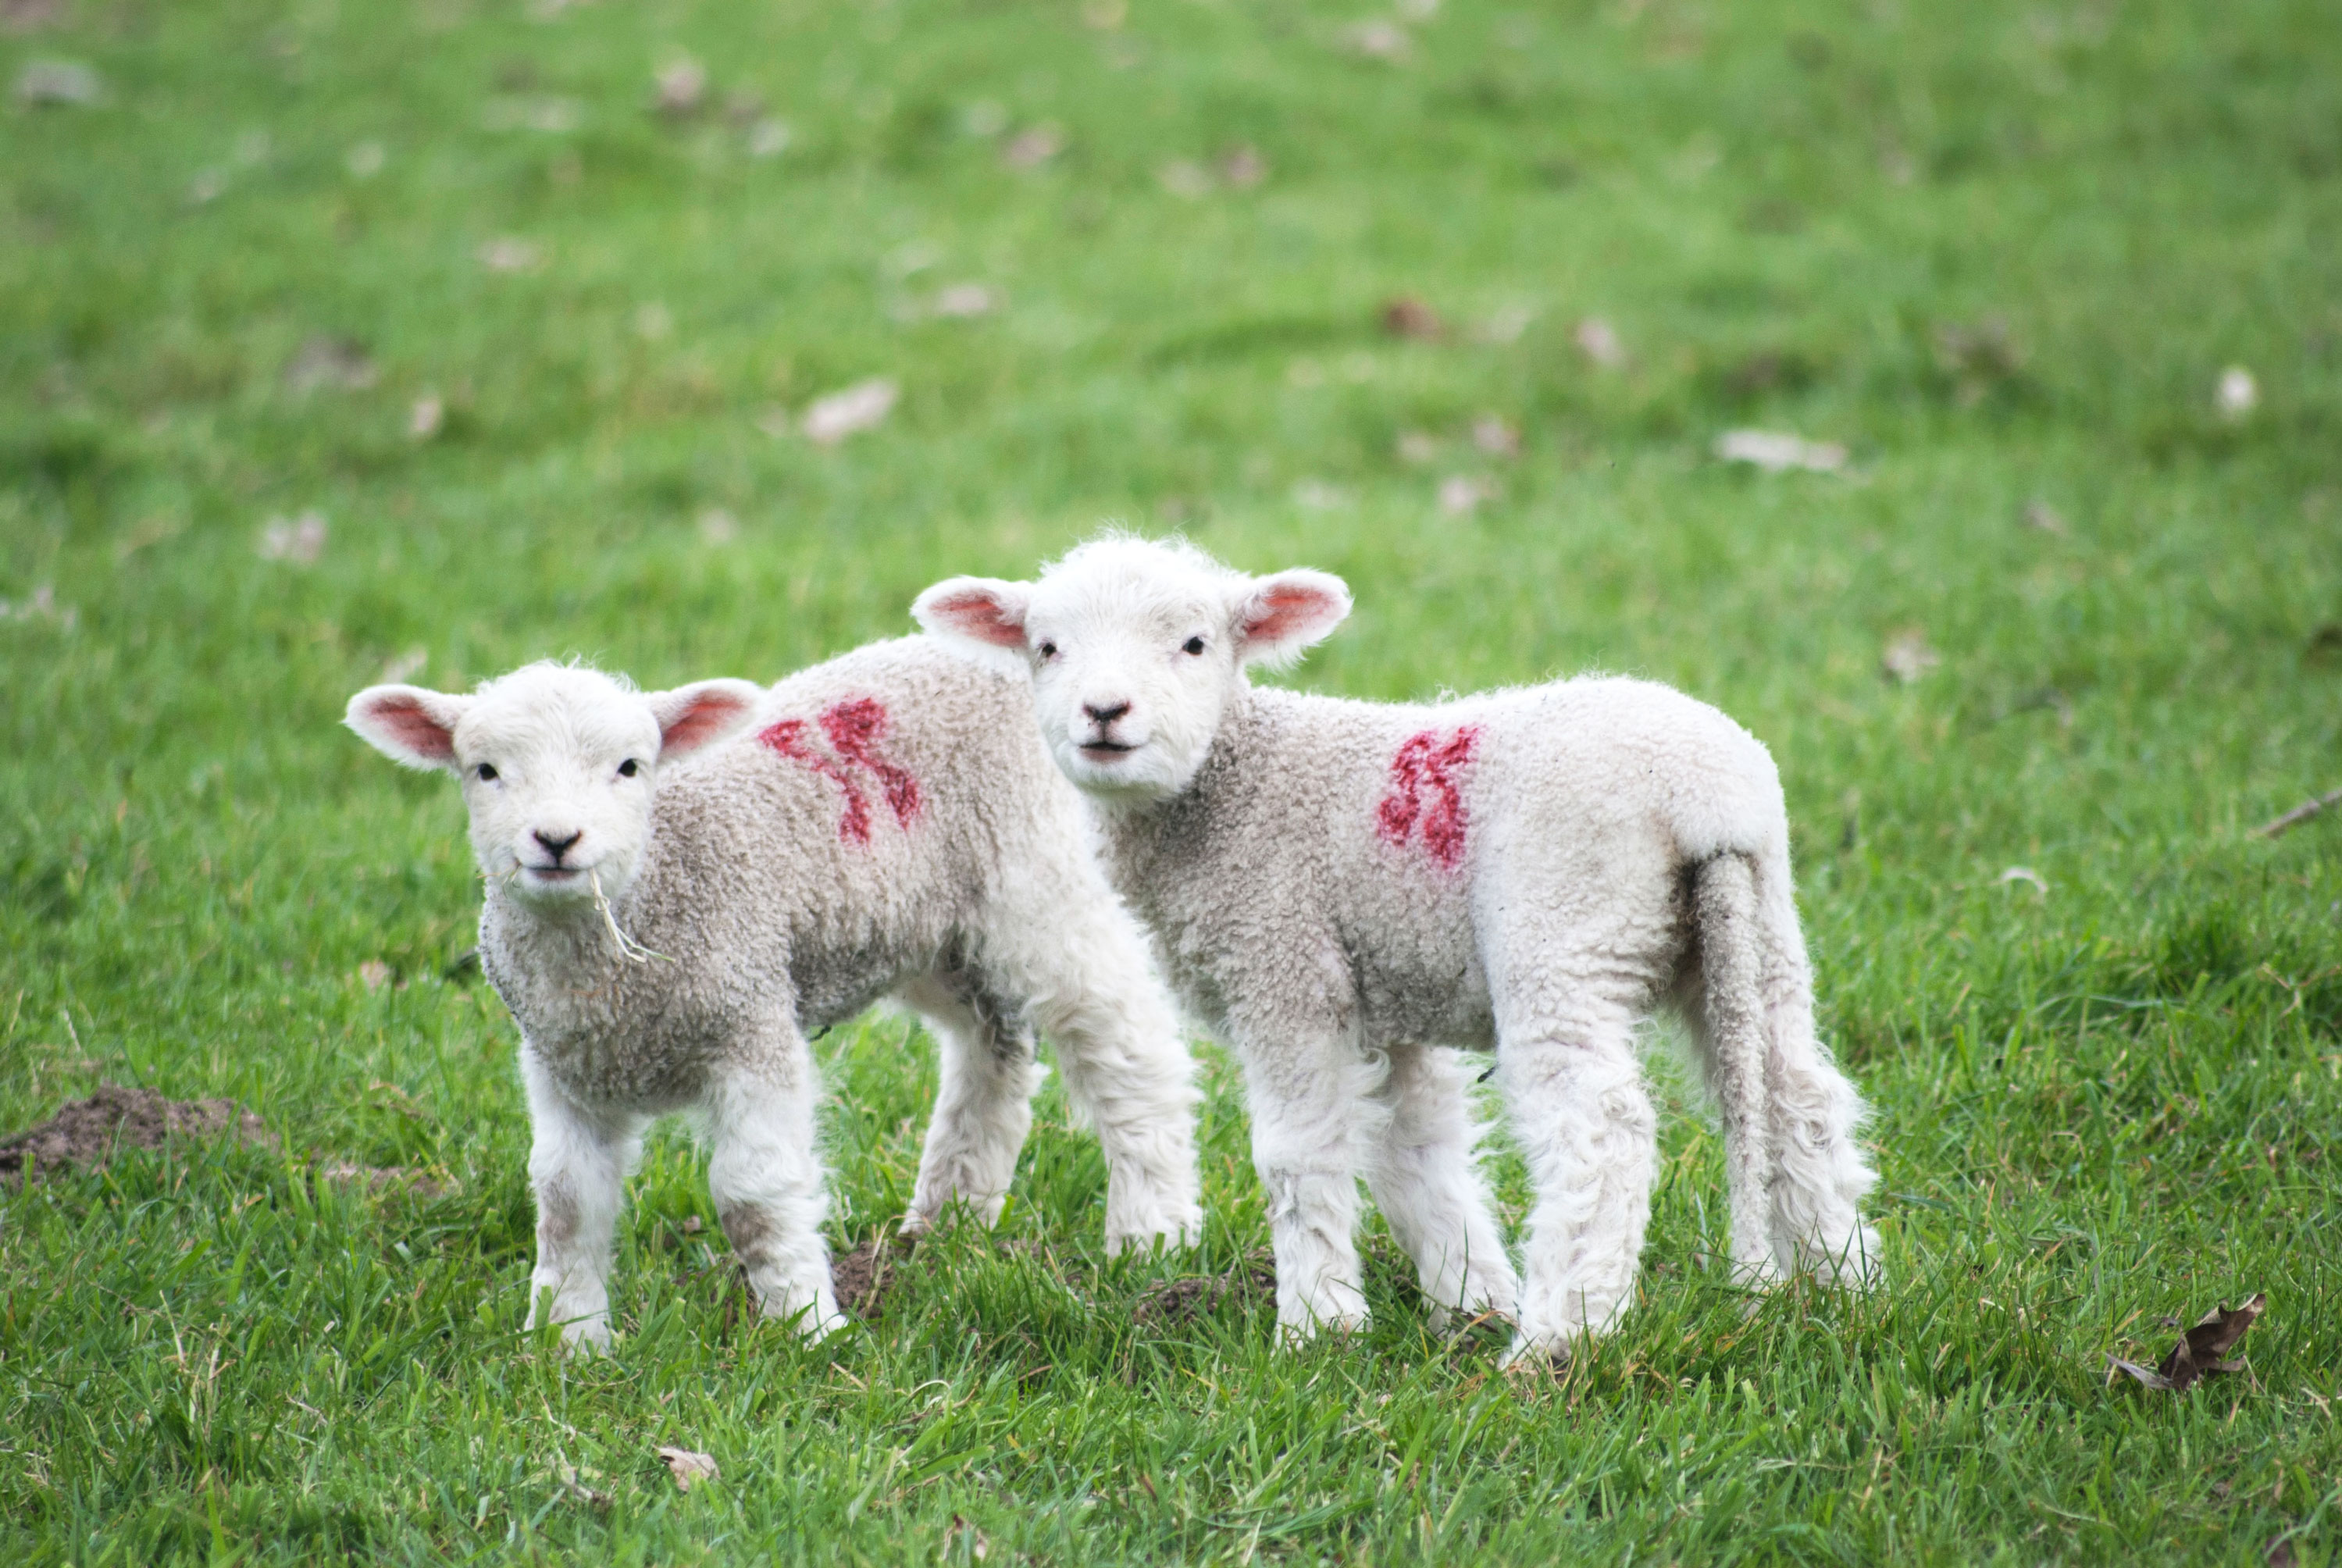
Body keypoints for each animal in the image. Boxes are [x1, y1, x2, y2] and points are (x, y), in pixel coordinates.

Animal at [346, 636, 1208, 1348]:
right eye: (484, 771)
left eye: (630, 767)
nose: (556, 841)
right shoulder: (564, 1067)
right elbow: (564, 1203)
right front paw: (568, 1346)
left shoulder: (749, 1021)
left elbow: (752, 1197)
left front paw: (807, 1329)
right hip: (932, 930)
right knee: (991, 1049)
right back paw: (946, 1224)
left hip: (1043, 876)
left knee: (1127, 1049)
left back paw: (1152, 1236)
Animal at [913, 540, 1883, 1367]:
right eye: (1044, 647)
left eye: (1194, 643)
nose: (1104, 714)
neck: (1236, 786)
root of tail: (1706, 798)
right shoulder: (1385, 996)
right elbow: (1415, 1152)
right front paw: (1468, 1299)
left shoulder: (1284, 965)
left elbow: (1298, 1151)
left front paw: (1317, 1327)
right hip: (1754, 931)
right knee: (1796, 1097)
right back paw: (1845, 1289)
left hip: (1562, 928)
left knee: (1600, 1130)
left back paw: (1558, 1341)